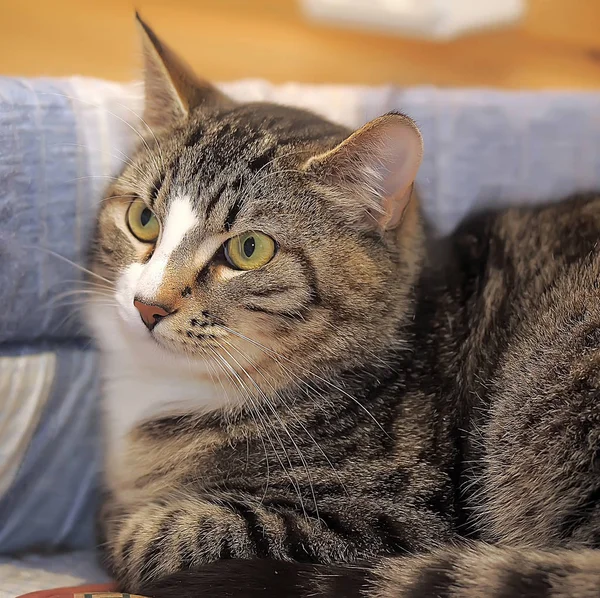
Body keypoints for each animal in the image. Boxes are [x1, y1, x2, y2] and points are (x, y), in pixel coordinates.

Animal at [88, 11, 600, 596]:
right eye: (143, 219)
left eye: (249, 249)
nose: (148, 305)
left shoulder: (393, 518)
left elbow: (160, 536)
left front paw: (120, 517)